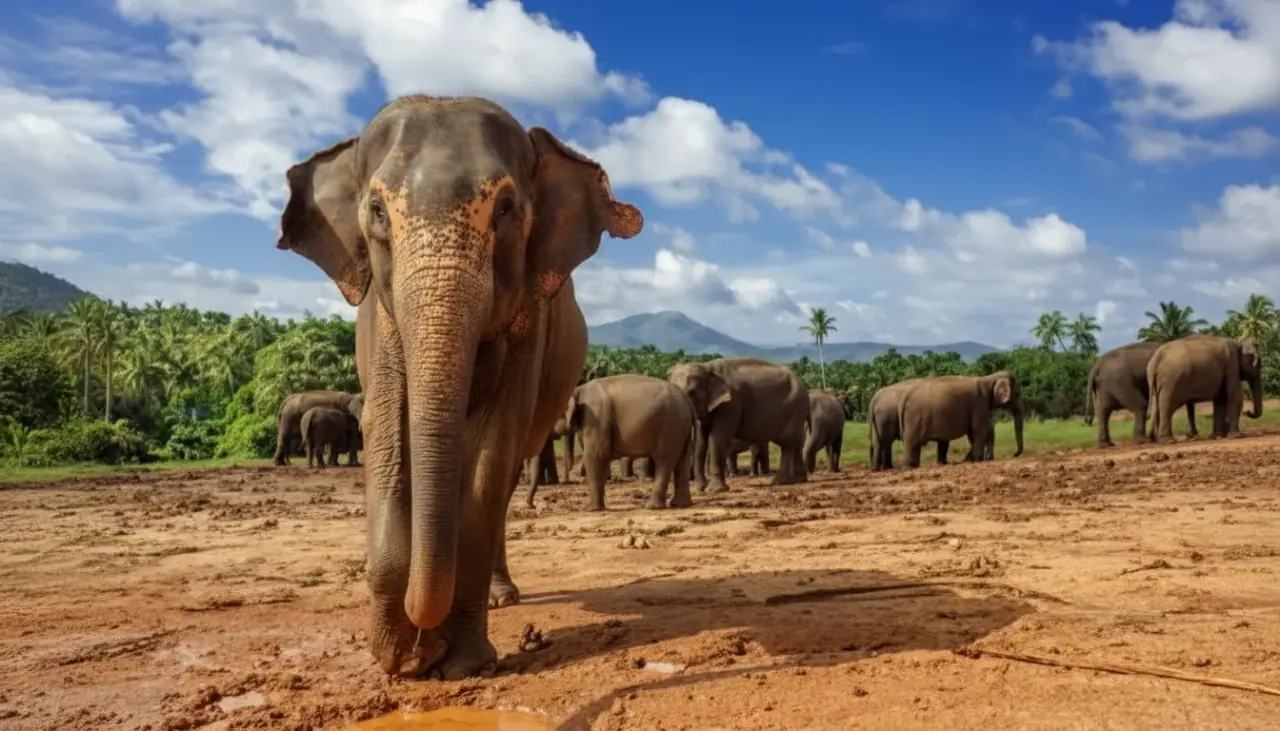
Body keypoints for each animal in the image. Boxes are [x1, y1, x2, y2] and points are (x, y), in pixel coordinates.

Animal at [274, 95, 643, 679]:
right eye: (377, 211)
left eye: (507, 209)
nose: (424, 649)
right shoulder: (380, 316)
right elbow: (386, 431)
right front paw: (398, 658)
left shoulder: (529, 323)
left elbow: (492, 450)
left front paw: (462, 663)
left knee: (504, 477)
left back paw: (500, 596)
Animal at [564, 373, 695, 510]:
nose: (569, 478)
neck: (579, 389)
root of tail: (686, 399)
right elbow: (602, 457)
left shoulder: (595, 418)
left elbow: (596, 455)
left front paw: (591, 509)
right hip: (681, 427)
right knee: (681, 458)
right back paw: (680, 504)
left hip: (669, 425)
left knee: (663, 460)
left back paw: (652, 506)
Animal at [668, 356, 810, 493]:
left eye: (692, 392)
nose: (701, 488)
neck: (707, 367)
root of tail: (803, 386)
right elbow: (701, 440)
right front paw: (701, 488)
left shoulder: (731, 404)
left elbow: (718, 439)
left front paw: (715, 490)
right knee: (796, 442)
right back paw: (799, 479)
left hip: (795, 409)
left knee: (788, 444)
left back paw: (780, 482)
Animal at [897, 371, 1025, 468]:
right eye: (1018, 394)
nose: (1014, 454)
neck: (988, 378)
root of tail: (904, 397)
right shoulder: (979, 403)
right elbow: (979, 429)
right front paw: (976, 460)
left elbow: (973, 432)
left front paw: (971, 459)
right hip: (914, 419)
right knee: (912, 443)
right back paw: (909, 467)